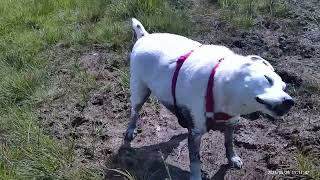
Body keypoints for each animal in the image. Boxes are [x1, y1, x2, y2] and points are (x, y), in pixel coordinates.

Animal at [124, 18, 294, 180]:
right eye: (267, 79)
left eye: (284, 87)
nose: (290, 102)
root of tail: (144, 36)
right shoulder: (196, 133)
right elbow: (195, 161)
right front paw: (196, 176)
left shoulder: (231, 123)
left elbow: (229, 143)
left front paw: (232, 158)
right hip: (139, 92)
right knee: (135, 112)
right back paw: (131, 130)